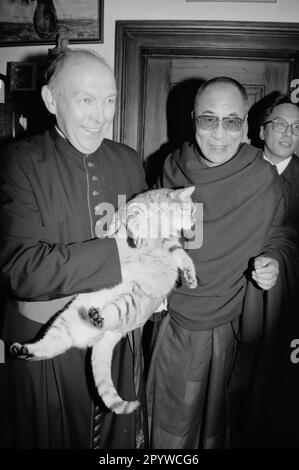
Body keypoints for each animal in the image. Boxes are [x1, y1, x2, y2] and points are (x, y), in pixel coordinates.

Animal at [9, 187, 197, 414]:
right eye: (192, 210)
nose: (194, 223)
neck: (161, 219)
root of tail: (104, 336)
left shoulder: (169, 241)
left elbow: (182, 255)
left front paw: (190, 276)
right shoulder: (132, 211)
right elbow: (135, 222)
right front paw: (140, 235)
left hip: (128, 303)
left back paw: (96, 318)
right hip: (67, 320)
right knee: (50, 346)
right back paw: (26, 350)